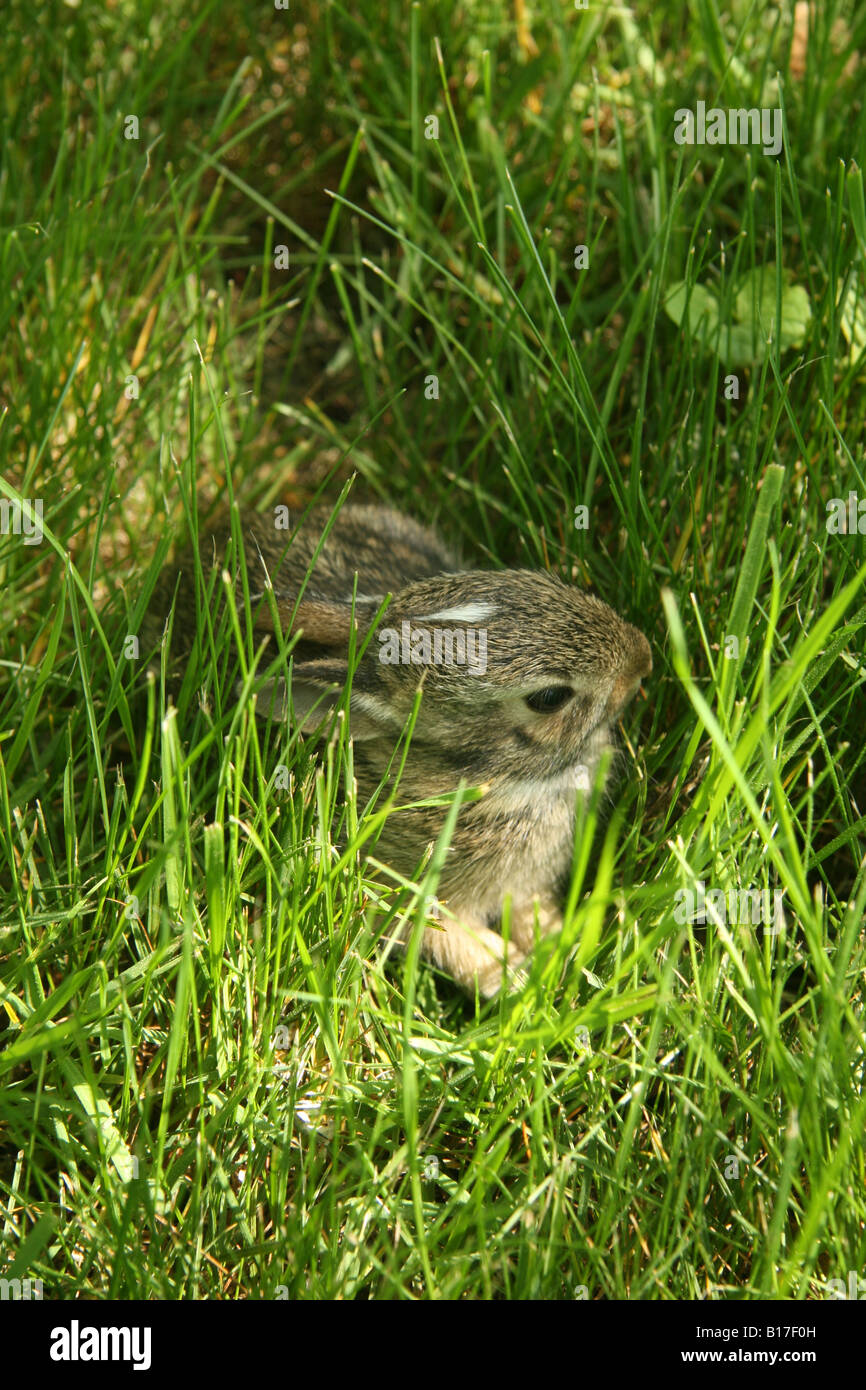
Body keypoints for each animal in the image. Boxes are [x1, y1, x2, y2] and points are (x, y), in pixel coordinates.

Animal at [145, 500, 653, 1000]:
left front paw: (559, 944)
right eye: (549, 698)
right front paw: (514, 977)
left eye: (535, 580)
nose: (642, 658)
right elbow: (442, 938)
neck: (491, 779)